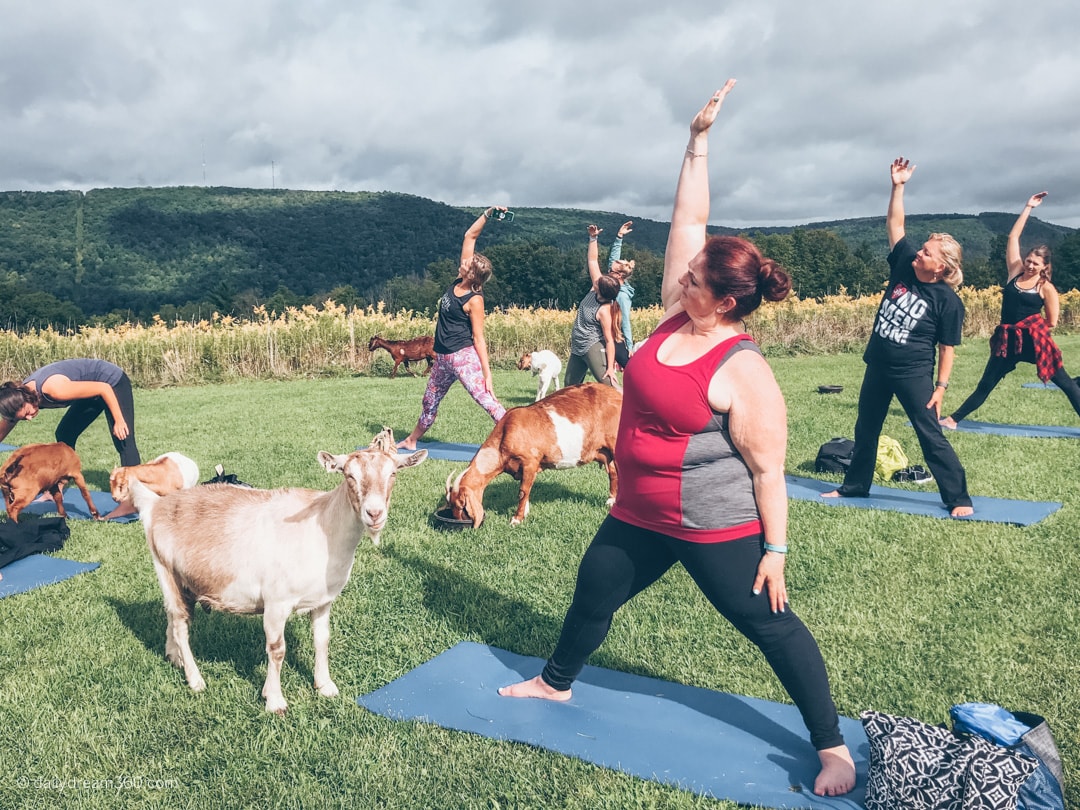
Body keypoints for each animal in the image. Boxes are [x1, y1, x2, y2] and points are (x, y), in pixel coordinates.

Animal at [444, 384, 617, 529]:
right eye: (450, 505)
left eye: (461, 505)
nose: (460, 522)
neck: (506, 432)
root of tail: (617, 394)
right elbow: (524, 489)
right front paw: (525, 512)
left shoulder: (530, 462)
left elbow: (523, 491)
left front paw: (516, 519)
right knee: (613, 473)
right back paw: (611, 500)